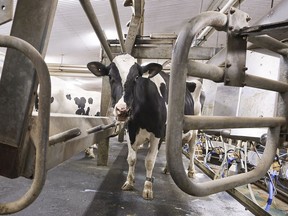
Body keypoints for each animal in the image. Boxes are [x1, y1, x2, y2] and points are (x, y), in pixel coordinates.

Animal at [88, 54, 202, 201]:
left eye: (137, 77)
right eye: (110, 77)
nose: (122, 110)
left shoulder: (158, 133)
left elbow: (149, 161)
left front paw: (148, 188)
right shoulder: (130, 130)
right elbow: (131, 159)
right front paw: (129, 182)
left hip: (195, 127)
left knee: (192, 149)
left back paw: (191, 171)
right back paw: (167, 168)